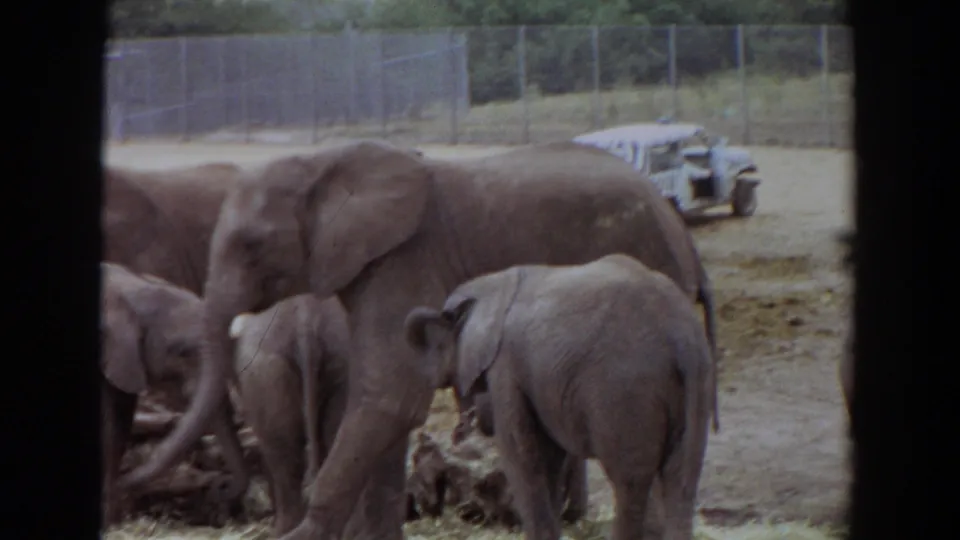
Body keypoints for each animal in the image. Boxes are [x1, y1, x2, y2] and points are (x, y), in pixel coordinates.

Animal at [404, 254, 717, 540]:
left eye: (441, 341)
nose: (460, 429)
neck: (491, 285)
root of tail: (680, 337)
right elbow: (550, 460)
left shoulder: (506, 368)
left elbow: (526, 456)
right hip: (698, 380)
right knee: (682, 479)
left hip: (625, 392)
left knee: (630, 484)